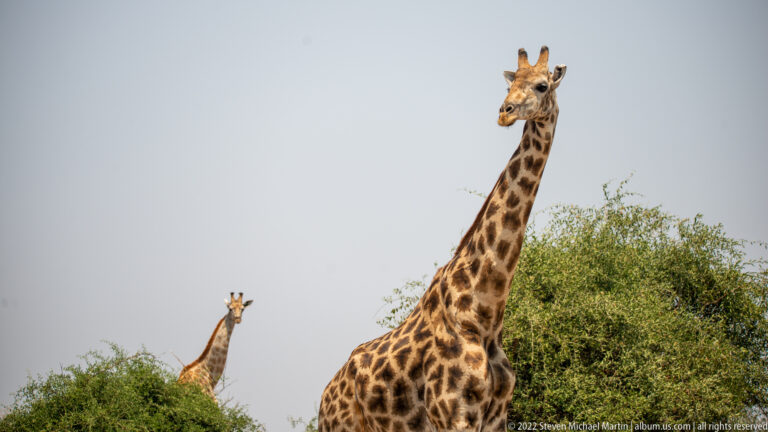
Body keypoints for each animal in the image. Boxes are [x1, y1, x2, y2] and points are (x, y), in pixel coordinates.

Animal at [318, 46, 566, 431]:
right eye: (512, 84)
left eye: (542, 85)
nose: (505, 112)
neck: (485, 314)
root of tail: (324, 397)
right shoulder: (453, 414)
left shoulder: (497, 416)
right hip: (341, 426)